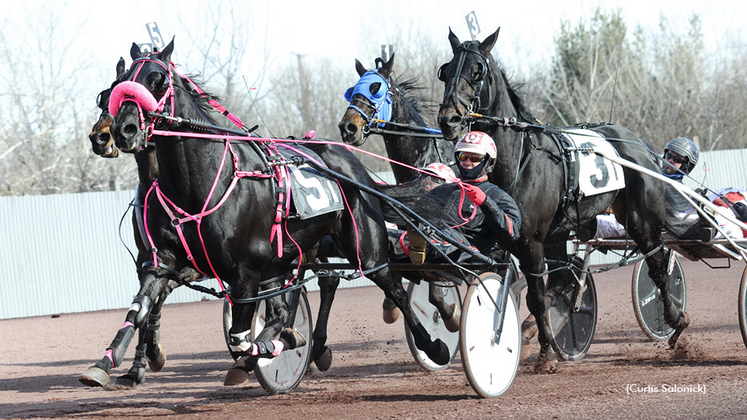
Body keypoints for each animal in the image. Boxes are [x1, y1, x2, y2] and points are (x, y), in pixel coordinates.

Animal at [80, 39, 450, 388]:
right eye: (114, 89)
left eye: (157, 81)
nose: (119, 131)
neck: (199, 183)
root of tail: (352, 163)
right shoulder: (163, 262)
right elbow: (141, 308)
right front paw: (107, 365)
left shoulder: (246, 269)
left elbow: (242, 336)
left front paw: (278, 345)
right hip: (290, 256)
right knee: (307, 292)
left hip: (362, 247)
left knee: (393, 287)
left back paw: (433, 343)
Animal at [438, 27, 688, 370]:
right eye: (445, 71)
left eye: (477, 72)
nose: (448, 119)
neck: (520, 157)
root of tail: (639, 145)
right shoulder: (508, 244)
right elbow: (519, 292)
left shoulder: (531, 242)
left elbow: (536, 295)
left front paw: (543, 353)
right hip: (560, 235)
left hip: (641, 222)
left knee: (658, 265)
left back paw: (675, 321)